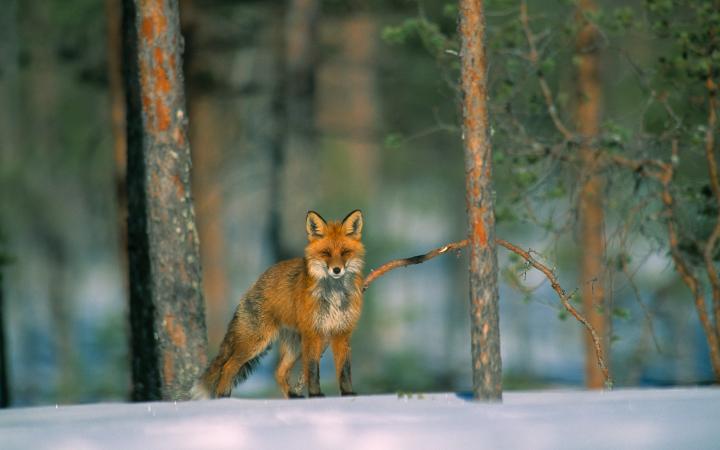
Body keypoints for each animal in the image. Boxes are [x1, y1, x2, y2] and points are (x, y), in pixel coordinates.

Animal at [191, 210, 365, 399]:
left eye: (345, 252)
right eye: (326, 253)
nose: (336, 270)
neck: (334, 294)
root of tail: (255, 283)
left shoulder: (342, 332)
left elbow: (344, 370)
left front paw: (348, 394)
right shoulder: (313, 333)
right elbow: (312, 369)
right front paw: (316, 395)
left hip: (294, 347)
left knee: (278, 372)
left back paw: (292, 396)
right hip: (257, 342)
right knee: (228, 366)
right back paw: (223, 398)